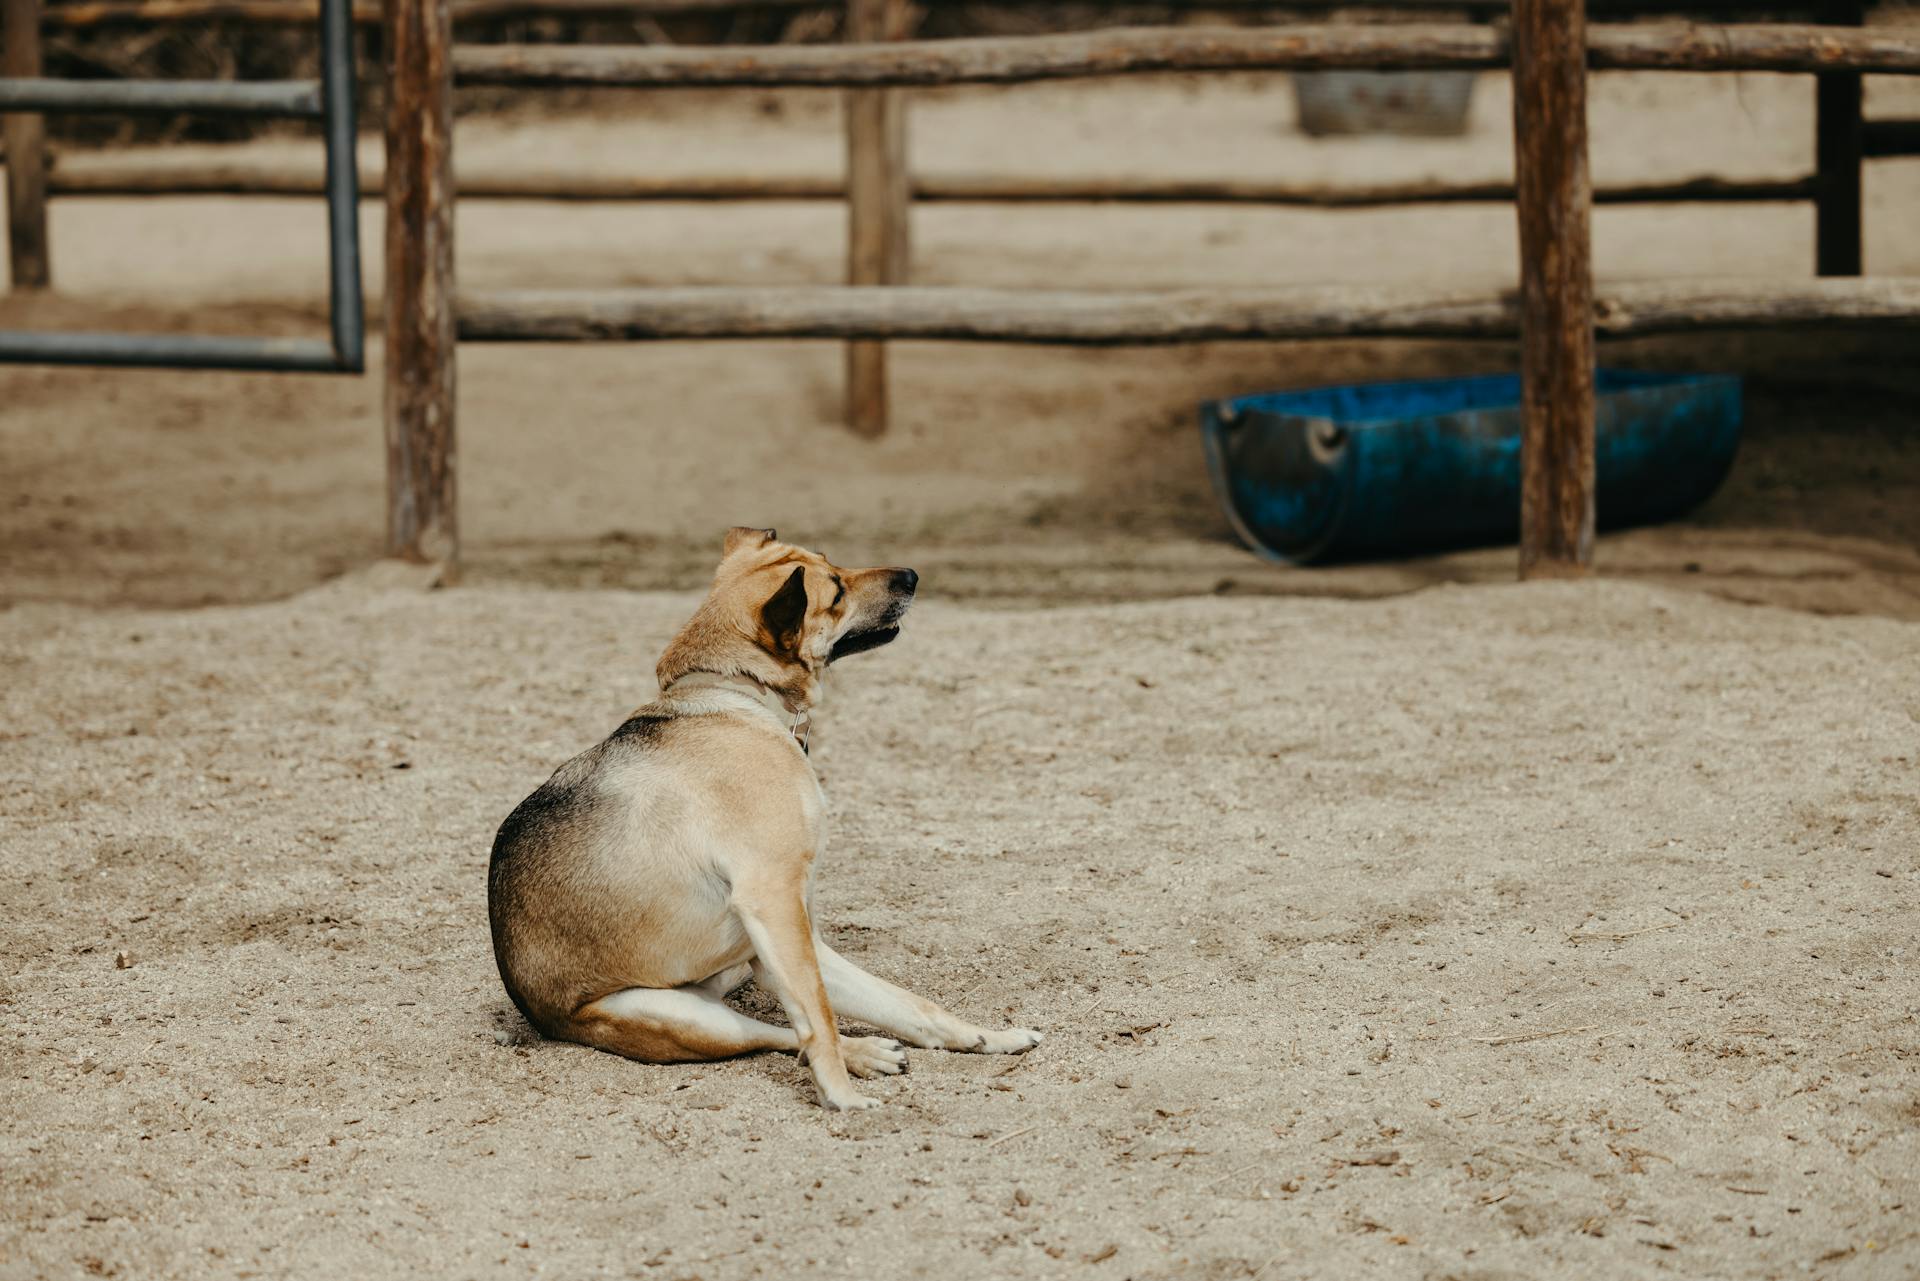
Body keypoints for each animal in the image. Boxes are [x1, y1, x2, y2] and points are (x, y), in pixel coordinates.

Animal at [487, 526, 1044, 1106]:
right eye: (835, 591)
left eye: (831, 562)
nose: (911, 576)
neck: (734, 693)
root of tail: (538, 1013)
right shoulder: (775, 901)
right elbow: (817, 1020)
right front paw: (842, 1099)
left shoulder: (799, 931)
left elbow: (905, 1005)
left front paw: (986, 1037)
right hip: (692, 1017)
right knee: (784, 1035)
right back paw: (861, 1056)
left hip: (746, 966)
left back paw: (877, 1050)